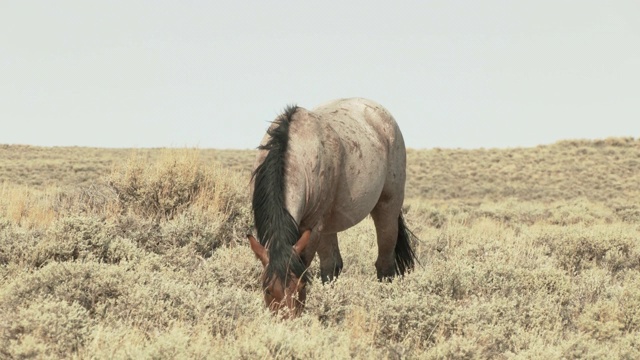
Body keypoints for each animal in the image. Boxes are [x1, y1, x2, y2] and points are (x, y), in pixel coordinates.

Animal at [248, 97, 418, 318]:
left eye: (301, 287)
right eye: (267, 289)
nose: (287, 321)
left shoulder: (312, 228)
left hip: (387, 208)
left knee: (385, 265)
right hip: (329, 226)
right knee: (333, 266)